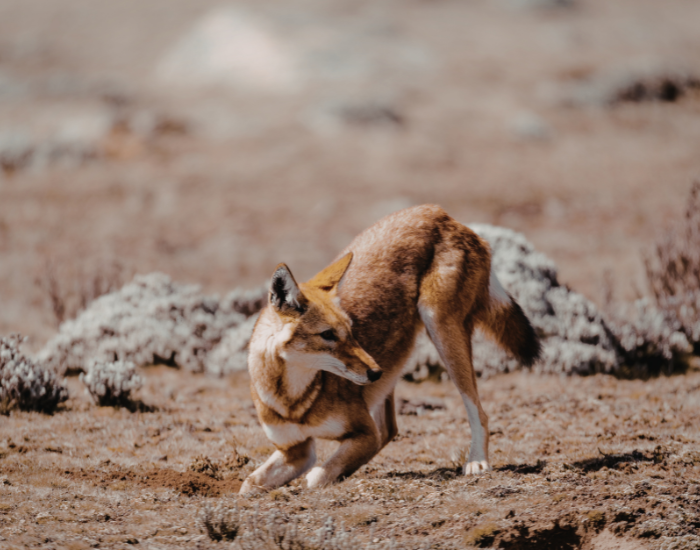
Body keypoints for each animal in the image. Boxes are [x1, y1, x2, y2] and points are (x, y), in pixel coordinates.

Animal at [240, 204, 541, 493]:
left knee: (478, 412)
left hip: (441, 331)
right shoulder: (295, 450)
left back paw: (477, 461)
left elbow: (315, 478)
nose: (376, 372)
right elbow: (248, 485)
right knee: (391, 428)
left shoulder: (364, 435)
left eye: (351, 331)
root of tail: (440, 213)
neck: (293, 401)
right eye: (328, 335)